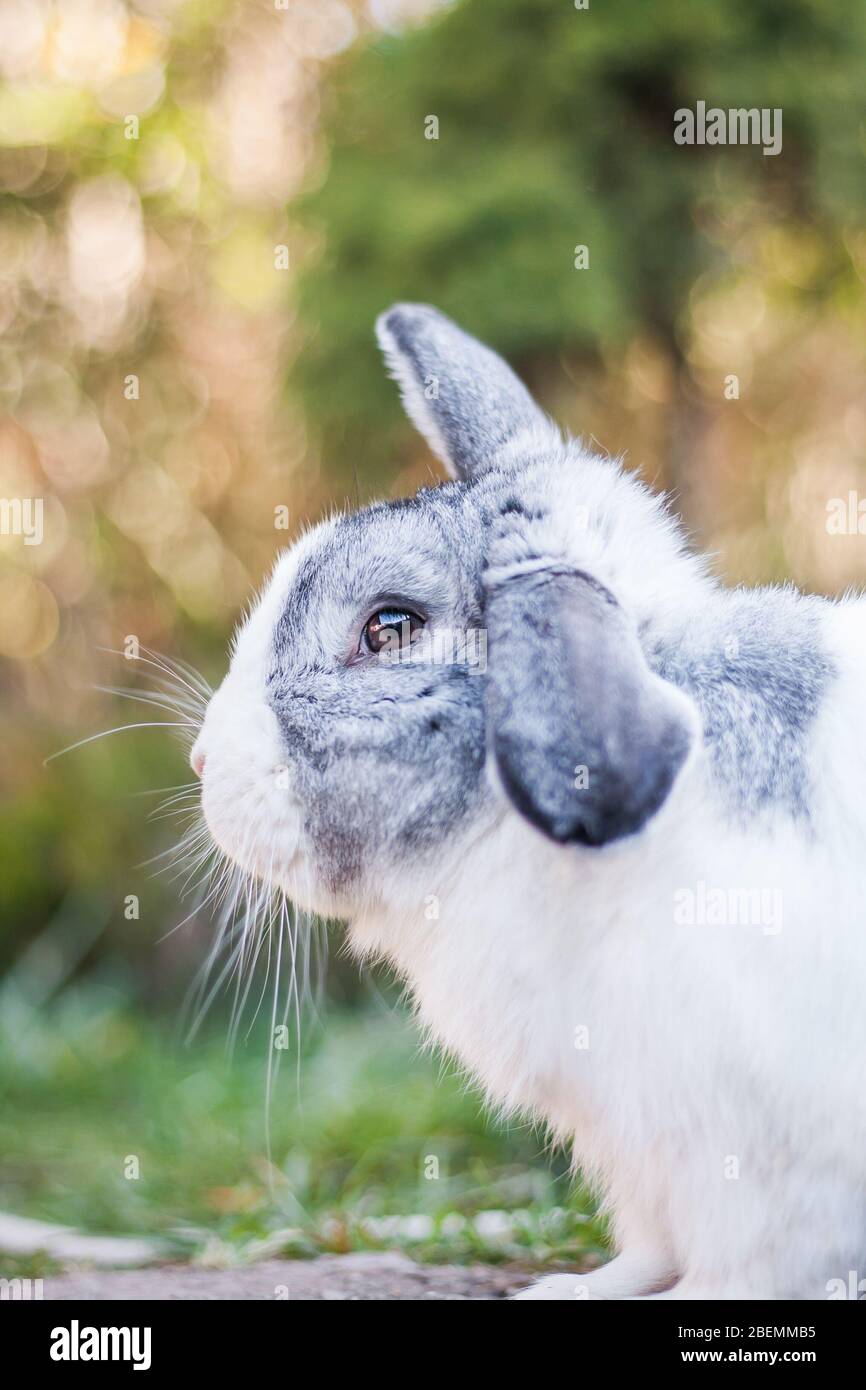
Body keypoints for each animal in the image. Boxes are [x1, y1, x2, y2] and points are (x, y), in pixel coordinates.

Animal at [191, 303, 866, 1300]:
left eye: (388, 628)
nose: (202, 759)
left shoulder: (760, 1172)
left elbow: (743, 1269)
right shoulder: (644, 1150)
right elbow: (651, 1244)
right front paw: (575, 1291)